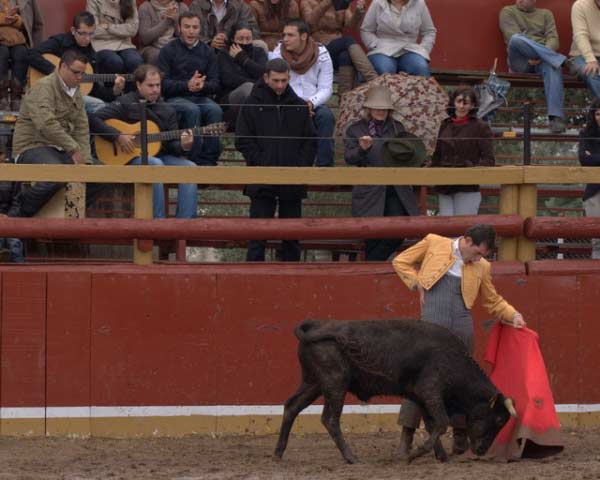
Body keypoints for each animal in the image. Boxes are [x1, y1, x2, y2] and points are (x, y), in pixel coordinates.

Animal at [274, 320, 516, 464]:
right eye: (498, 419)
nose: (482, 450)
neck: (454, 359)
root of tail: (315, 327)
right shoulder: (430, 391)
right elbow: (441, 422)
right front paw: (415, 454)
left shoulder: (421, 396)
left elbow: (432, 424)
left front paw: (441, 456)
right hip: (335, 383)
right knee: (330, 419)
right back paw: (351, 457)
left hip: (313, 383)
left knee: (292, 406)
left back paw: (278, 452)